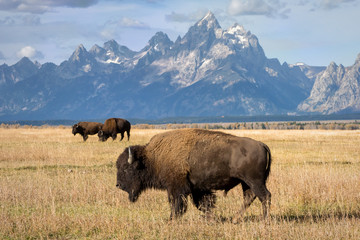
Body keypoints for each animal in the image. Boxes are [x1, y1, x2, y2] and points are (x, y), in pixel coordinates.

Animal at [116, 128, 272, 222]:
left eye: (126, 169)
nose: (118, 185)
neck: (152, 157)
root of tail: (261, 144)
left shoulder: (176, 188)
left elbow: (177, 204)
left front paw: (171, 219)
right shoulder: (196, 189)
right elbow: (203, 204)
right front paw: (211, 218)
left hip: (254, 181)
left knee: (265, 196)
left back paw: (265, 220)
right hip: (246, 182)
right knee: (250, 197)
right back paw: (235, 219)